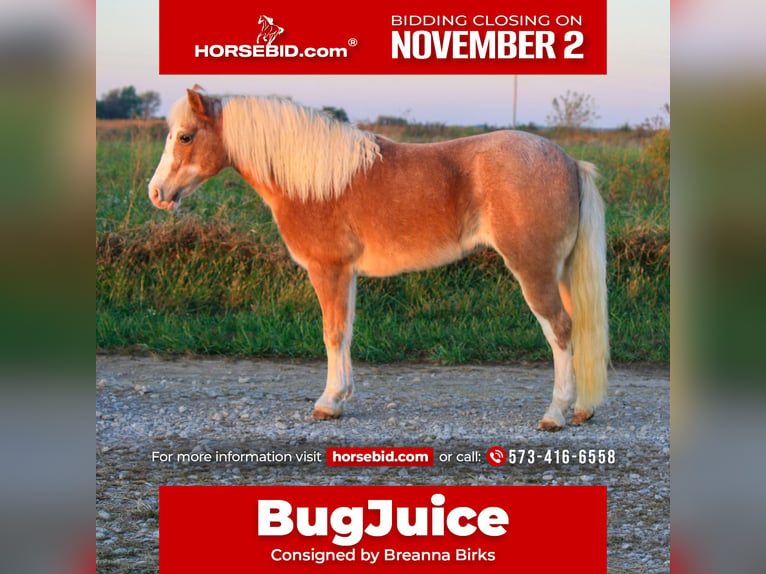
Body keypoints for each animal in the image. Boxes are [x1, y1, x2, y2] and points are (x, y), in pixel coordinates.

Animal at [148, 87, 609, 431]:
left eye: (185, 136)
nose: (157, 193)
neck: (313, 180)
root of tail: (570, 163)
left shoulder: (328, 270)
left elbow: (332, 333)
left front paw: (328, 403)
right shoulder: (346, 274)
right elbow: (346, 331)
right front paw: (341, 397)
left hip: (534, 269)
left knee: (559, 329)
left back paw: (555, 414)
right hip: (560, 272)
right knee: (577, 327)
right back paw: (581, 410)